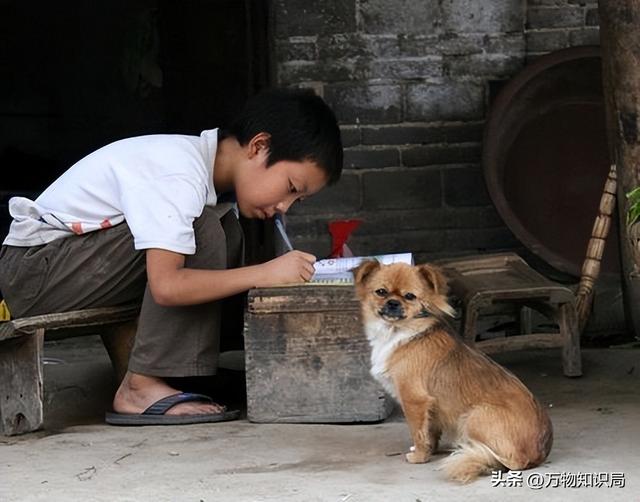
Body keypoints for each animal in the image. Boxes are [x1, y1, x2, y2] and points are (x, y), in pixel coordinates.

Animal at [352, 258, 552, 482]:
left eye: (410, 296)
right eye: (381, 292)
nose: (393, 303)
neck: (399, 332)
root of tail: (536, 457)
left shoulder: (414, 400)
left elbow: (418, 432)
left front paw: (419, 456)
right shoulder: (431, 406)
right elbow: (430, 431)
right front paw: (430, 450)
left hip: (474, 416)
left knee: (507, 460)